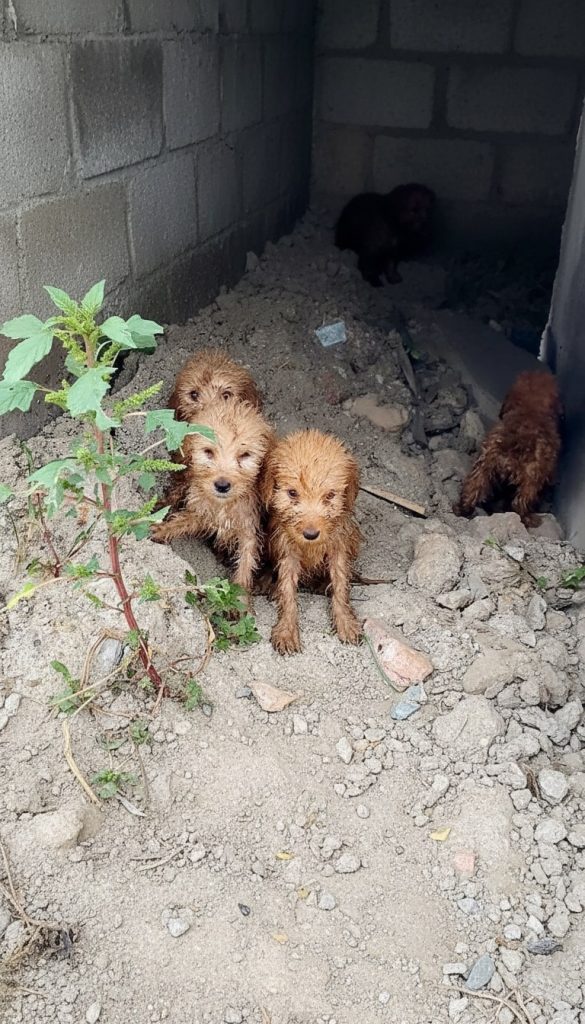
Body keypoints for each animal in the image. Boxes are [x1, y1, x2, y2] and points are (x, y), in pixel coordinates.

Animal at [151, 398, 275, 598]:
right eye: (208, 452)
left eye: (245, 455)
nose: (222, 485)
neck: (224, 505)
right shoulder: (203, 511)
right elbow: (182, 520)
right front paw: (161, 529)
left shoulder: (249, 529)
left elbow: (245, 564)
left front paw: (240, 600)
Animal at [260, 429, 362, 654]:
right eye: (292, 493)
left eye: (330, 495)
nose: (310, 534)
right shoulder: (286, 548)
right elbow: (287, 591)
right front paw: (287, 630)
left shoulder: (339, 545)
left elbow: (340, 584)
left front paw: (345, 622)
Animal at [453, 370, 562, 527]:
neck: (530, 408)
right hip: (530, 480)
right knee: (519, 503)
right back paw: (529, 519)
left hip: (483, 467)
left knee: (471, 489)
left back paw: (462, 509)